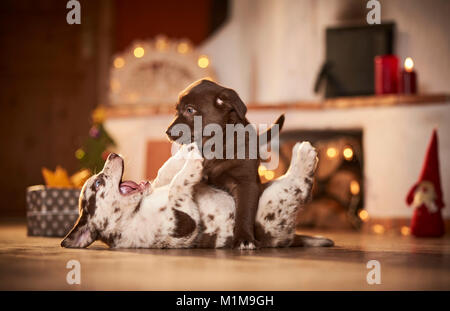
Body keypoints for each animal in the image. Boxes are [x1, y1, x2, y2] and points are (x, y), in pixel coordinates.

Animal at [60, 143, 334, 250]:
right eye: (98, 183)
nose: (112, 154)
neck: (134, 211)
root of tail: (289, 238)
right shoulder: (183, 220)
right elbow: (177, 185)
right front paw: (193, 160)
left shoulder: (159, 185)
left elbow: (165, 174)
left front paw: (186, 151)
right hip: (270, 205)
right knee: (300, 185)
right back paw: (304, 154)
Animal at [167, 80, 284, 249]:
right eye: (177, 110)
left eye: (190, 109)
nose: (167, 132)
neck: (216, 144)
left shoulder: (246, 183)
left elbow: (244, 211)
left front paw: (244, 239)